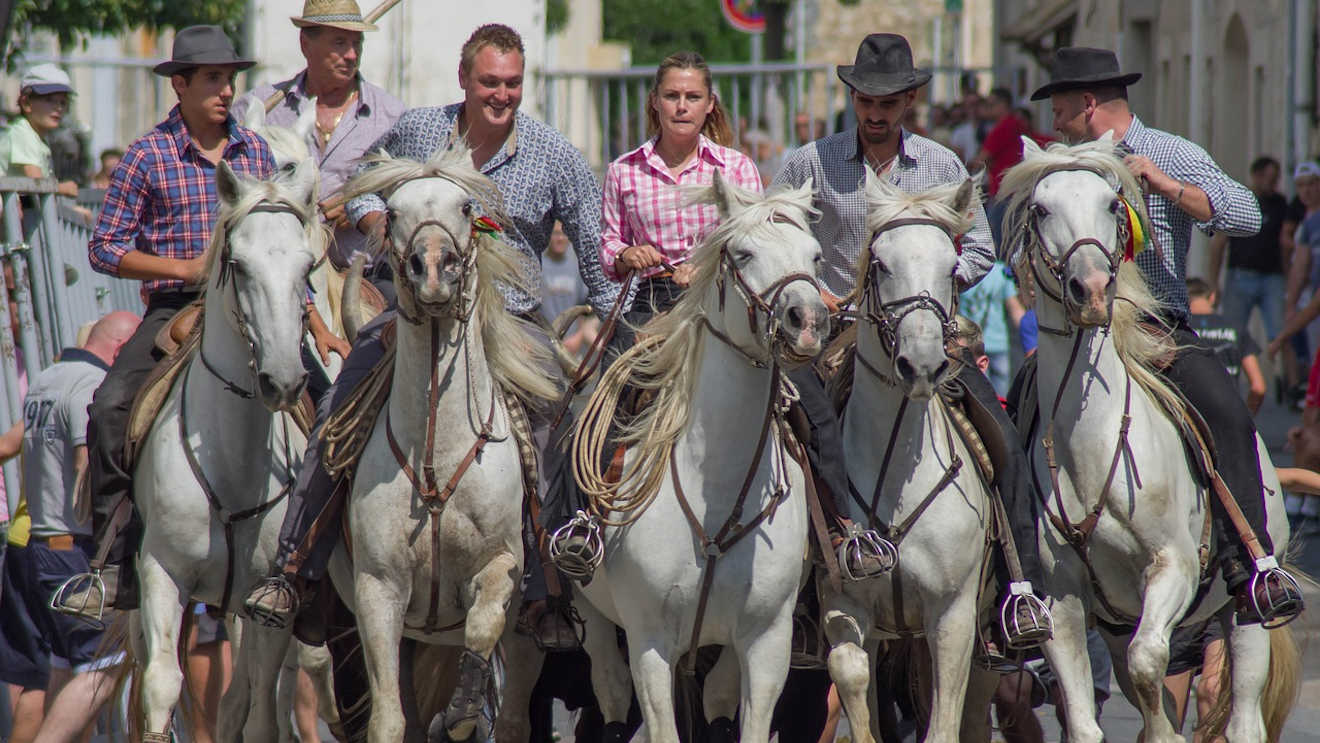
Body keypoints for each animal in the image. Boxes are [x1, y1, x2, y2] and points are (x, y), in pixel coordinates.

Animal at [132, 159, 324, 739]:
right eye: (237, 265)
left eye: (308, 266)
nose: (283, 380)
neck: (235, 467)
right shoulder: (161, 570)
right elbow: (161, 685)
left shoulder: (272, 604)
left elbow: (258, 710)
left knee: (243, 695)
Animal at [327, 148, 559, 739]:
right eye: (392, 209)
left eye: (466, 206)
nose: (433, 268)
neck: (438, 453)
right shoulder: (378, 592)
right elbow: (389, 718)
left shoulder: (501, 565)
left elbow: (481, 628)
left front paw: (461, 711)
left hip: (524, 638)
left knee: (515, 712)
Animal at [572, 175, 828, 743]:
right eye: (744, 253)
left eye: (816, 255)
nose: (806, 321)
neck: (714, 497)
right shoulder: (649, 643)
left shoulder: (764, 642)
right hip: (592, 612)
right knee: (609, 689)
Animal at [823, 175, 997, 743]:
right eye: (880, 263)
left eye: (952, 266)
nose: (921, 365)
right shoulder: (847, 606)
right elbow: (852, 679)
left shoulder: (953, 617)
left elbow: (943, 720)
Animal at [997, 137, 1298, 743]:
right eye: (1040, 209)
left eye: (1114, 203)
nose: (1091, 289)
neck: (1094, 450)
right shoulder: (1064, 599)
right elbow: (1089, 716)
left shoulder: (1172, 567)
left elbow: (1147, 664)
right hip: (1117, 623)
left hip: (1244, 614)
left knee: (1243, 716)